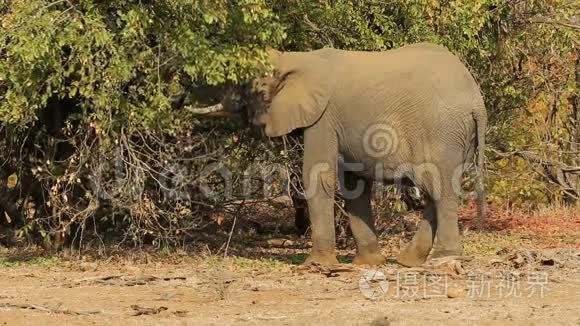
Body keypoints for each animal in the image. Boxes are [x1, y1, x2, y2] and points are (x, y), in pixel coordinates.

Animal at [222, 42, 484, 268]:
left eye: (248, 86)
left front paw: (317, 265)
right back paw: (409, 261)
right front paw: (368, 263)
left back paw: (444, 260)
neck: (295, 59)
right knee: (434, 191)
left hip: (442, 131)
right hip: (459, 136)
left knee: (440, 190)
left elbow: (318, 175)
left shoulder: (323, 118)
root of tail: (477, 101)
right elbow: (353, 184)